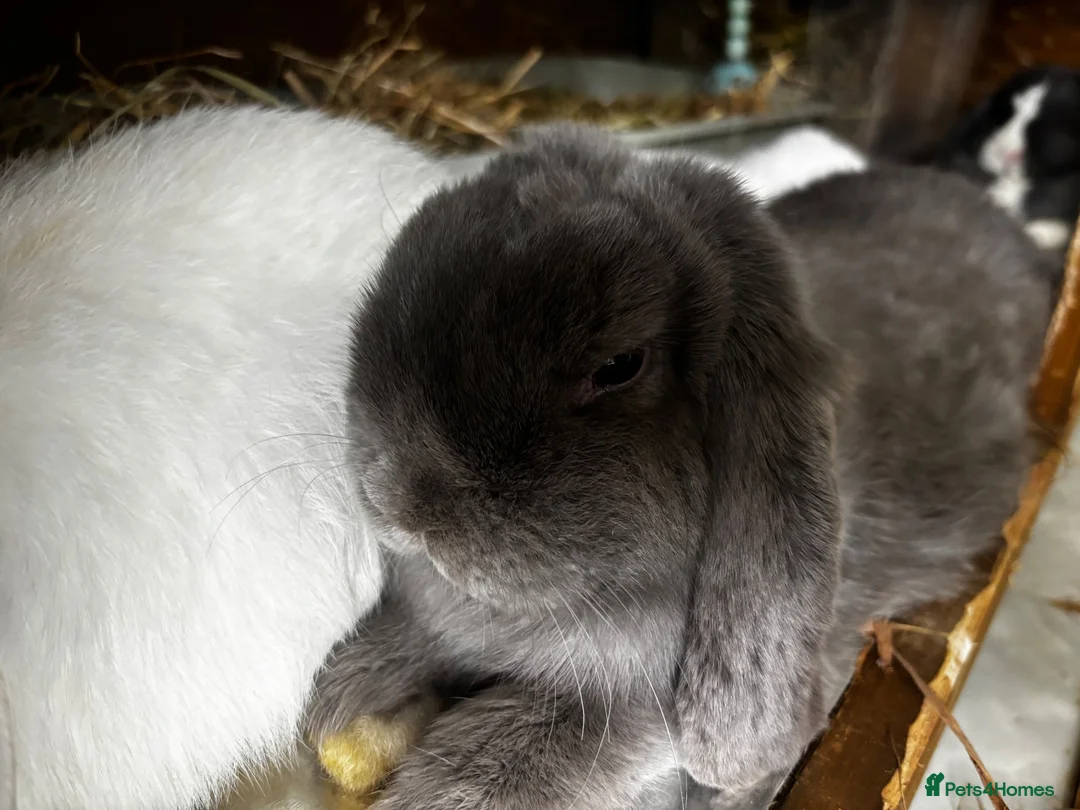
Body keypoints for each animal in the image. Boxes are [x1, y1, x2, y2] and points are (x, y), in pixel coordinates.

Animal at [302, 123, 1054, 810]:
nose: (407, 502)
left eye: (618, 366)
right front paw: (335, 702)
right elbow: (403, 644)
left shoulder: (625, 715)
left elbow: (505, 755)